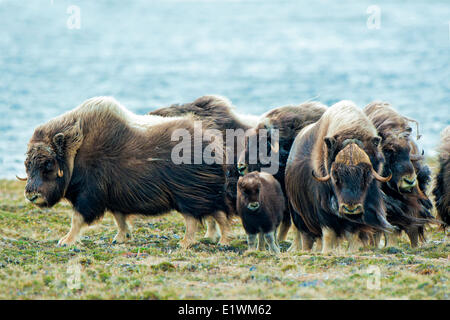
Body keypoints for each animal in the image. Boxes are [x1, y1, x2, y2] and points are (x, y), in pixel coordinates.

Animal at [20, 97, 232, 248]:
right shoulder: (113, 195)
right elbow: (119, 217)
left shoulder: (89, 194)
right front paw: (122, 237)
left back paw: (200, 242)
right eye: (27, 164)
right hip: (200, 194)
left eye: (48, 163)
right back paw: (212, 239)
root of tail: (213, 141)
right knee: (213, 215)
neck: (76, 152)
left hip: (189, 194)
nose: (31, 195)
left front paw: (66, 240)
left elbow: (77, 218)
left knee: (200, 218)